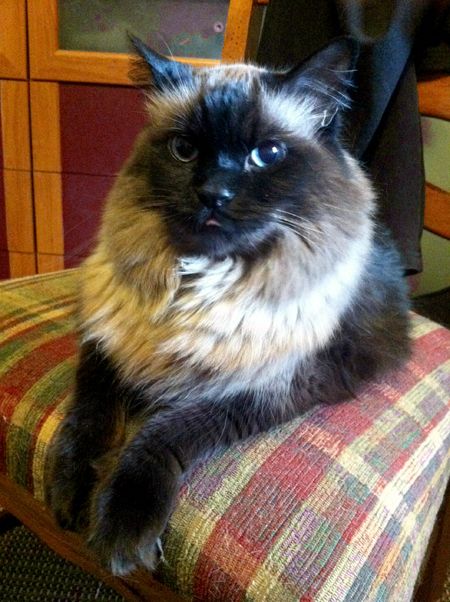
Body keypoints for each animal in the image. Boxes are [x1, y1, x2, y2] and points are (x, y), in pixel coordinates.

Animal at [46, 35, 412, 576]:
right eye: (184, 150)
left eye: (267, 154)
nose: (212, 195)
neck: (193, 285)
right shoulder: (108, 342)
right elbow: (86, 419)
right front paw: (68, 493)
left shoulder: (270, 385)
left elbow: (160, 434)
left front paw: (121, 532)